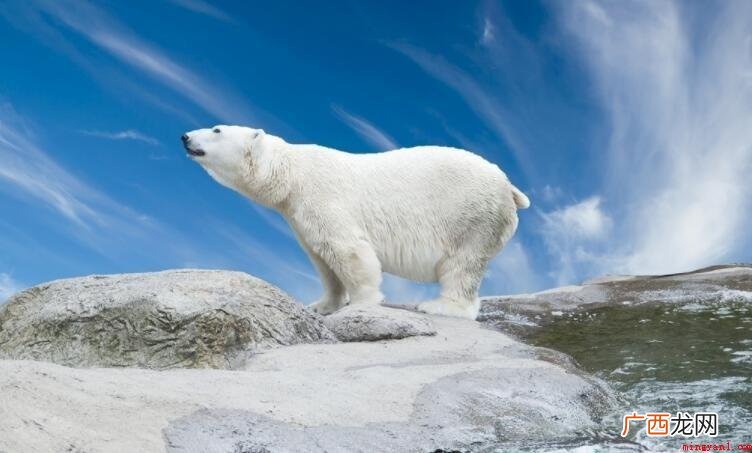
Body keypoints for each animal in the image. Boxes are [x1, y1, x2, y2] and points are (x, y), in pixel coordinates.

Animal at [181, 125, 529, 319]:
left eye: (217, 130)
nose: (184, 136)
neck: (292, 173)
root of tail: (510, 187)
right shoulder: (298, 216)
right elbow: (321, 260)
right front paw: (322, 305)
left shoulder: (323, 198)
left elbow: (348, 251)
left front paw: (362, 304)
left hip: (471, 216)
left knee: (462, 265)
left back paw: (442, 307)